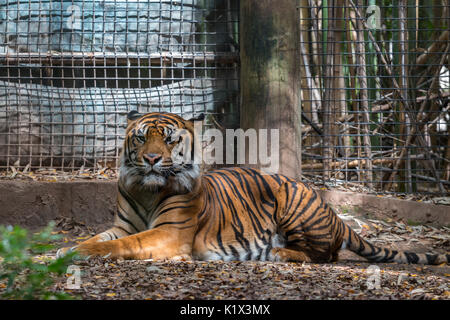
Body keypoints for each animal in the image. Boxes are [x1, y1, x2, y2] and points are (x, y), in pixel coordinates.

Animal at [57, 110, 450, 264]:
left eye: (169, 140)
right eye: (141, 138)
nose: (152, 159)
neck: (147, 189)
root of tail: (335, 215)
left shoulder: (169, 234)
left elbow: (123, 245)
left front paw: (79, 254)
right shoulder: (122, 225)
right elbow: (99, 238)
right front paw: (66, 248)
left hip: (294, 204)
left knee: (325, 255)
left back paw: (278, 253)